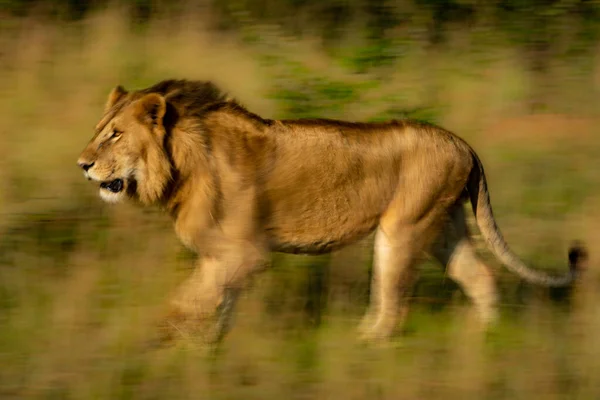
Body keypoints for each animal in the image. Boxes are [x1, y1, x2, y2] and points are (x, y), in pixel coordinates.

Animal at [75, 79, 584, 346]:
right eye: (100, 130)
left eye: (116, 135)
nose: (82, 164)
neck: (181, 161)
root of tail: (464, 143)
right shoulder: (230, 257)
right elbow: (217, 302)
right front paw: (210, 347)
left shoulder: (244, 251)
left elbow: (188, 299)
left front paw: (162, 346)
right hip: (443, 227)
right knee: (480, 277)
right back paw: (483, 342)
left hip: (402, 228)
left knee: (393, 304)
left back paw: (365, 345)